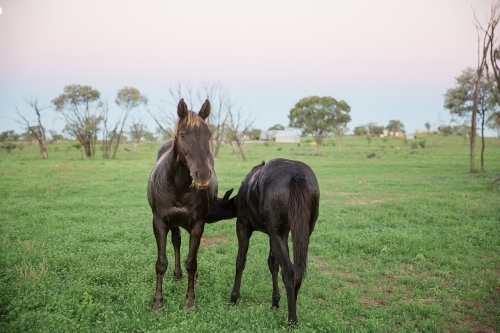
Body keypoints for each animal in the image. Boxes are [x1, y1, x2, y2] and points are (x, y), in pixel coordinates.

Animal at [146, 97, 217, 310]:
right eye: (183, 135)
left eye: (208, 135)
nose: (203, 174)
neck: (178, 186)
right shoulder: (159, 222)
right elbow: (161, 263)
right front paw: (157, 304)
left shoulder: (198, 224)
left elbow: (192, 262)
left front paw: (190, 301)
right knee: (176, 241)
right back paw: (177, 275)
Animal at [228, 158, 320, 324]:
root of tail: (295, 174)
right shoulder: (277, 235)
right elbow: (273, 264)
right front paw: (275, 301)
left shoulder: (243, 226)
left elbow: (240, 261)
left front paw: (233, 298)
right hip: (301, 231)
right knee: (296, 270)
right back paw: (292, 309)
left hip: (274, 232)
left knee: (289, 271)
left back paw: (292, 320)